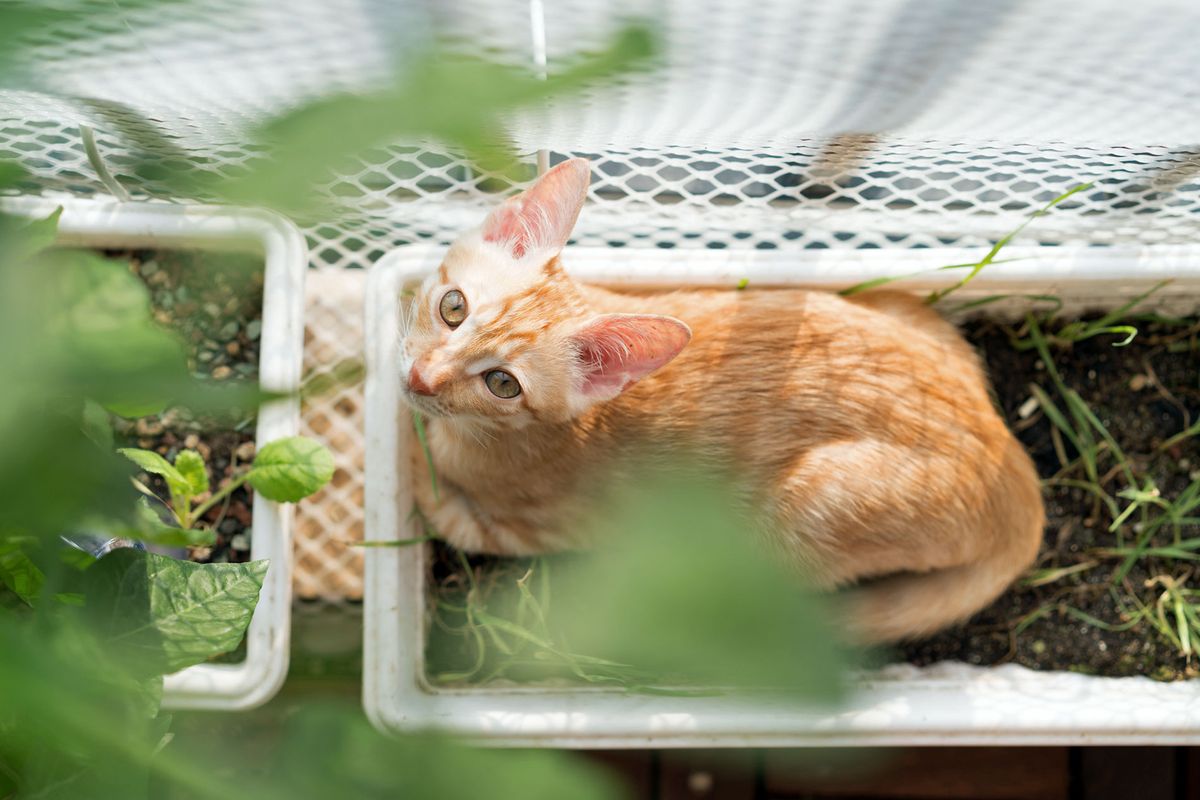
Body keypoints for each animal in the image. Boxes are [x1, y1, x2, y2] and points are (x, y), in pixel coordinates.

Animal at [400, 159, 1041, 642]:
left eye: (502, 384)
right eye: (453, 307)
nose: (422, 379)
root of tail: (1014, 473)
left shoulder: (541, 531)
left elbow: (436, 500)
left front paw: (402, 444)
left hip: (801, 515)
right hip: (901, 309)